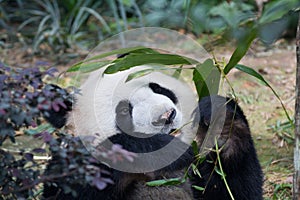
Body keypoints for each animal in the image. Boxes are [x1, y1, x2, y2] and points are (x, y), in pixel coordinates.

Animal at [42, 65, 262, 199]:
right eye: (124, 111)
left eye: (157, 88)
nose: (167, 116)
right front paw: (159, 147)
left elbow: (237, 189)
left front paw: (219, 124)